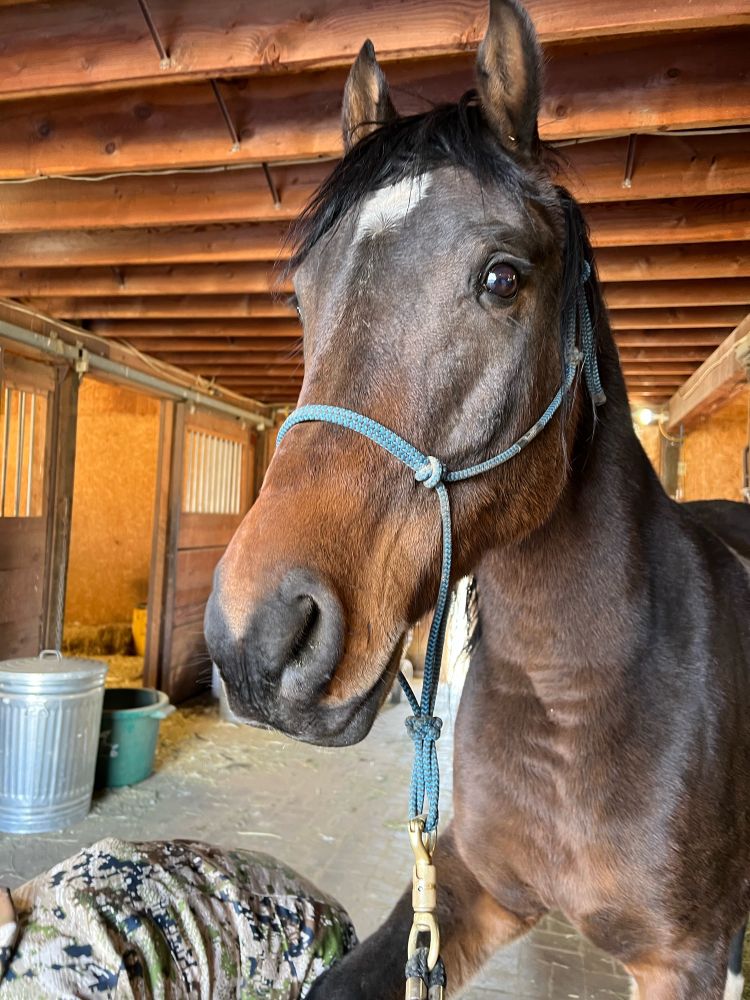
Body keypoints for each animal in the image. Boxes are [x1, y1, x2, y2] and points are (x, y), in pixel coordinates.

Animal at [205, 2, 750, 996]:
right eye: (304, 297)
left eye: (503, 277)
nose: (256, 639)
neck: (575, 690)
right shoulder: (464, 884)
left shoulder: (682, 960)